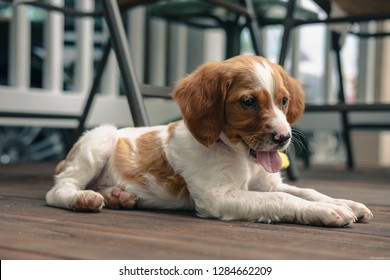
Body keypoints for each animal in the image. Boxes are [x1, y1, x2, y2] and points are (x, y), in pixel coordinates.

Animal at [47, 55, 374, 228]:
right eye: (248, 102)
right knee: (59, 189)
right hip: (99, 139)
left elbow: (308, 191)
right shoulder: (218, 196)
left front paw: (345, 203)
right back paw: (83, 199)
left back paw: (119, 196)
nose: (283, 138)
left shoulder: (267, 184)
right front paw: (328, 212)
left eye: (283, 101)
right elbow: (284, 200)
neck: (241, 157)